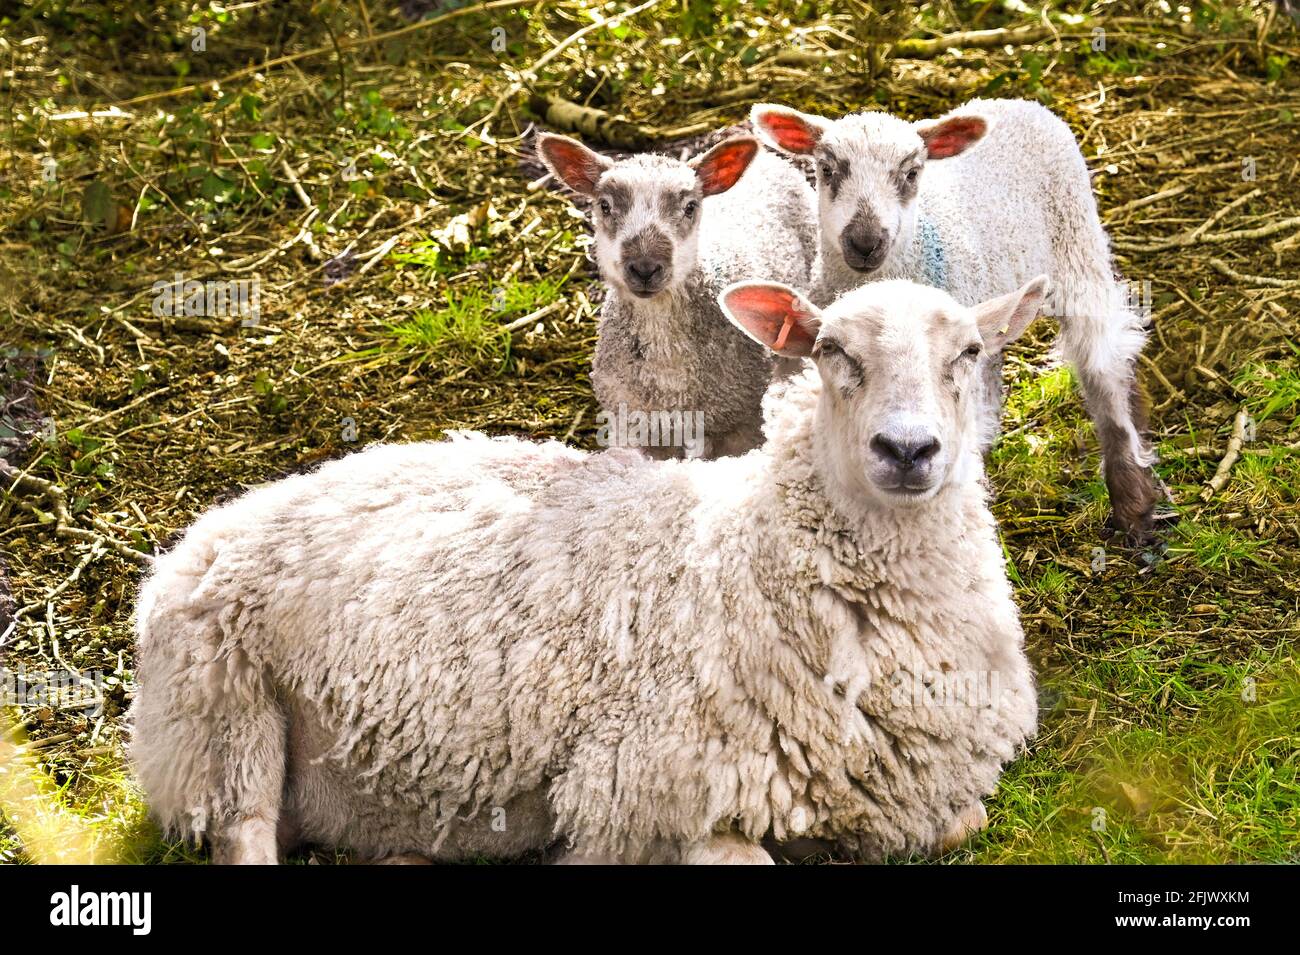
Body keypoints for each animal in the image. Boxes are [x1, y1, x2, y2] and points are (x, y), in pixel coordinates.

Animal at [130, 275, 1044, 865]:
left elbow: (962, 823)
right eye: (828, 349)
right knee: (241, 837)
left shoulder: (922, 802)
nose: (907, 449)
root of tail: (205, 528)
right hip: (222, 717)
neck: (750, 543)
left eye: (970, 350)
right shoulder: (643, 788)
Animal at [535, 131, 817, 459]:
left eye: (690, 207)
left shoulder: (739, 424)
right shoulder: (636, 425)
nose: (645, 268)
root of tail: (769, 159)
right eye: (604, 206)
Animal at [750, 98, 1162, 544]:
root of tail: (1017, 101)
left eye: (911, 173)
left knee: (1104, 362)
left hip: (1077, 246)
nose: (864, 242)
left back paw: (1133, 501)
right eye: (827, 170)